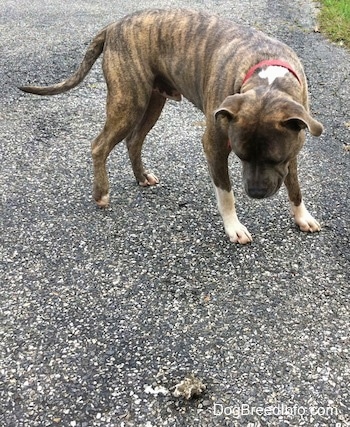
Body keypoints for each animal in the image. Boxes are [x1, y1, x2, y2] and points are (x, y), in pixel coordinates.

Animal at [20, 9, 324, 244]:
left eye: (276, 158)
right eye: (241, 156)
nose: (255, 193)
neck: (267, 77)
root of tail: (114, 25)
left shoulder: (294, 145)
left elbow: (295, 185)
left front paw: (302, 216)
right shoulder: (214, 145)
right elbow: (225, 193)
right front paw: (234, 228)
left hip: (153, 102)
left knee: (134, 140)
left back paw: (142, 176)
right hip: (128, 101)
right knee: (100, 145)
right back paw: (101, 193)